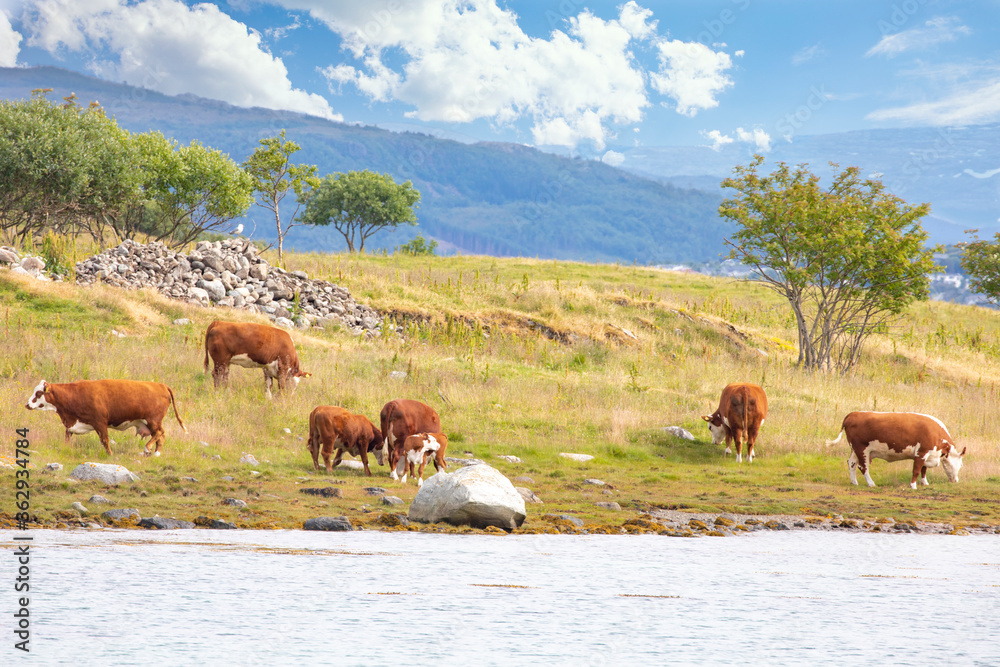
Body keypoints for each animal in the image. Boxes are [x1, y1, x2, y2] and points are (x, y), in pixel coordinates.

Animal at [25, 379, 187, 456]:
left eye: (39, 393)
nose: (27, 404)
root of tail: (162, 385)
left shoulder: (100, 422)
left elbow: (105, 440)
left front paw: (110, 455)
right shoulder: (72, 424)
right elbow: (67, 437)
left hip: (153, 420)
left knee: (160, 433)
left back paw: (148, 449)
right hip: (151, 423)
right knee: (161, 435)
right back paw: (156, 453)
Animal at [826, 411, 966, 489]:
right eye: (961, 464)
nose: (956, 481)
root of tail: (853, 413)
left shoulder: (928, 455)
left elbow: (923, 470)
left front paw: (924, 483)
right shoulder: (921, 453)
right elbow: (916, 471)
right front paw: (913, 486)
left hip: (855, 450)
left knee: (852, 463)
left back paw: (854, 482)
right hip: (862, 449)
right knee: (863, 467)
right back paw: (871, 483)